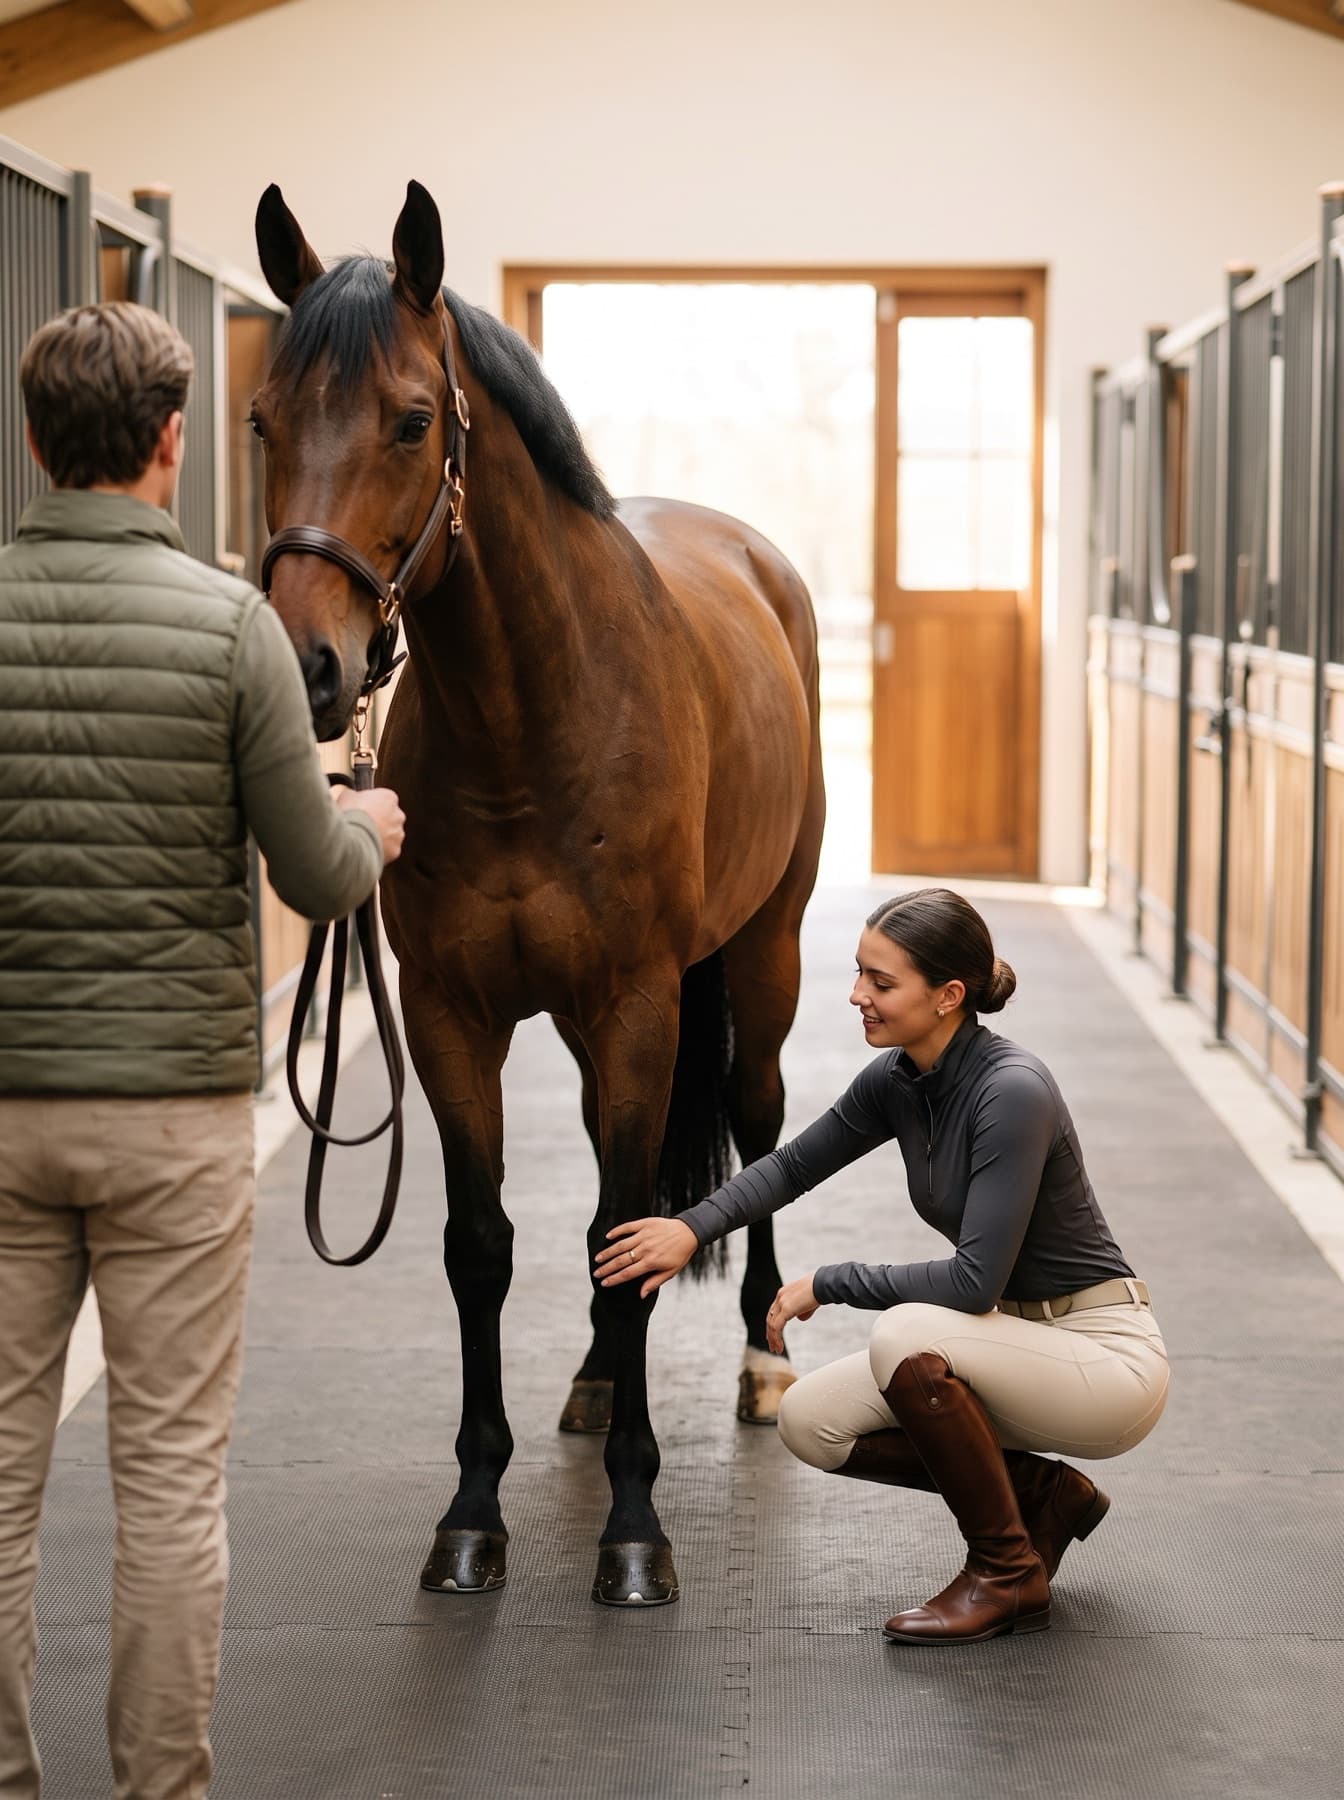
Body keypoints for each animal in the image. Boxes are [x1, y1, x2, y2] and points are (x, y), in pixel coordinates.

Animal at [252, 179, 825, 1606]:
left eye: (412, 419)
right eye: (262, 419)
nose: (310, 666)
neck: (532, 723)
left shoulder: (637, 1006)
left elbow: (624, 1237)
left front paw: (634, 1532)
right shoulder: (454, 1015)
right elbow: (488, 1245)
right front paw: (473, 1515)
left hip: (764, 957)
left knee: (759, 1121)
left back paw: (762, 1360)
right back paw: (593, 1381)